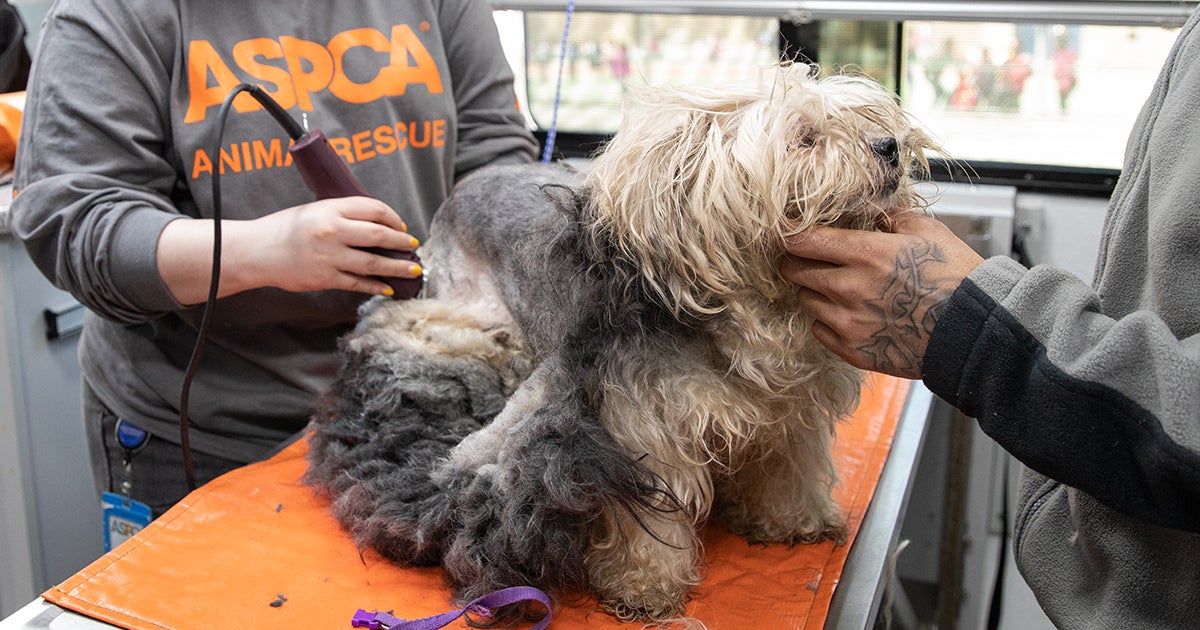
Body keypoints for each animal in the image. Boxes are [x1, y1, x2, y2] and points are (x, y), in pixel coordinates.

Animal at [304, 63, 938, 622]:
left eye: (855, 118)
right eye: (806, 138)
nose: (889, 146)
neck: (747, 313)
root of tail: (464, 189)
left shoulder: (792, 409)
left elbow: (789, 467)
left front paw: (791, 520)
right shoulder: (638, 430)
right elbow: (645, 527)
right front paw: (645, 586)